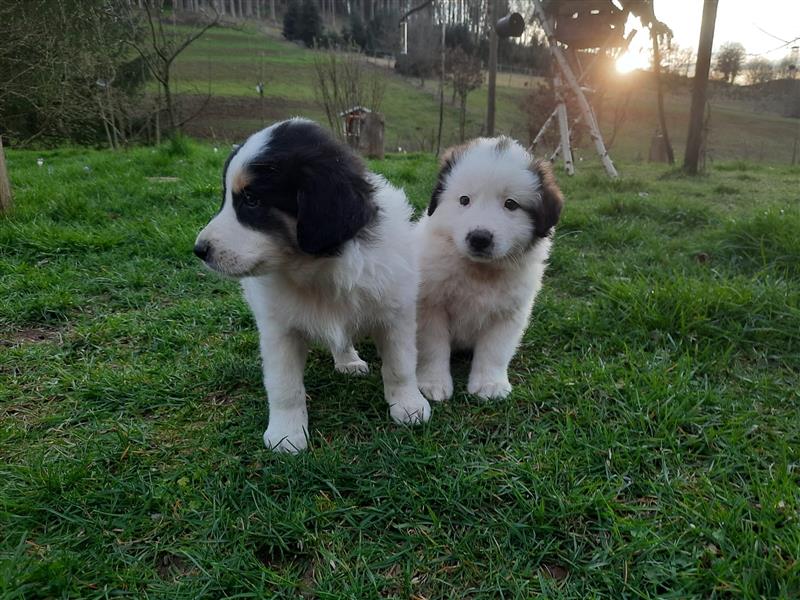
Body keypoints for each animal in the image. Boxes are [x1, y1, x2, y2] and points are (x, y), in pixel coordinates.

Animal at [195, 119, 432, 452]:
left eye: (251, 200)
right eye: (226, 198)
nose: (199, 250)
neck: (318, 269)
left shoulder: (395, 313)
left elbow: (400, 365)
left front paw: (408, 406)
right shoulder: (278, 331)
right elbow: (284, 386)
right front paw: (286, 434)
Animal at [416, 137, 564, 404]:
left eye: (510, 204)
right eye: (464, 200)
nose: (479, 238)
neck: (479, 271)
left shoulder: (509, 313)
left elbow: (495, 351)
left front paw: (489, 384)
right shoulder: (431, 306)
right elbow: (433, 347)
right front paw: (433, 383)